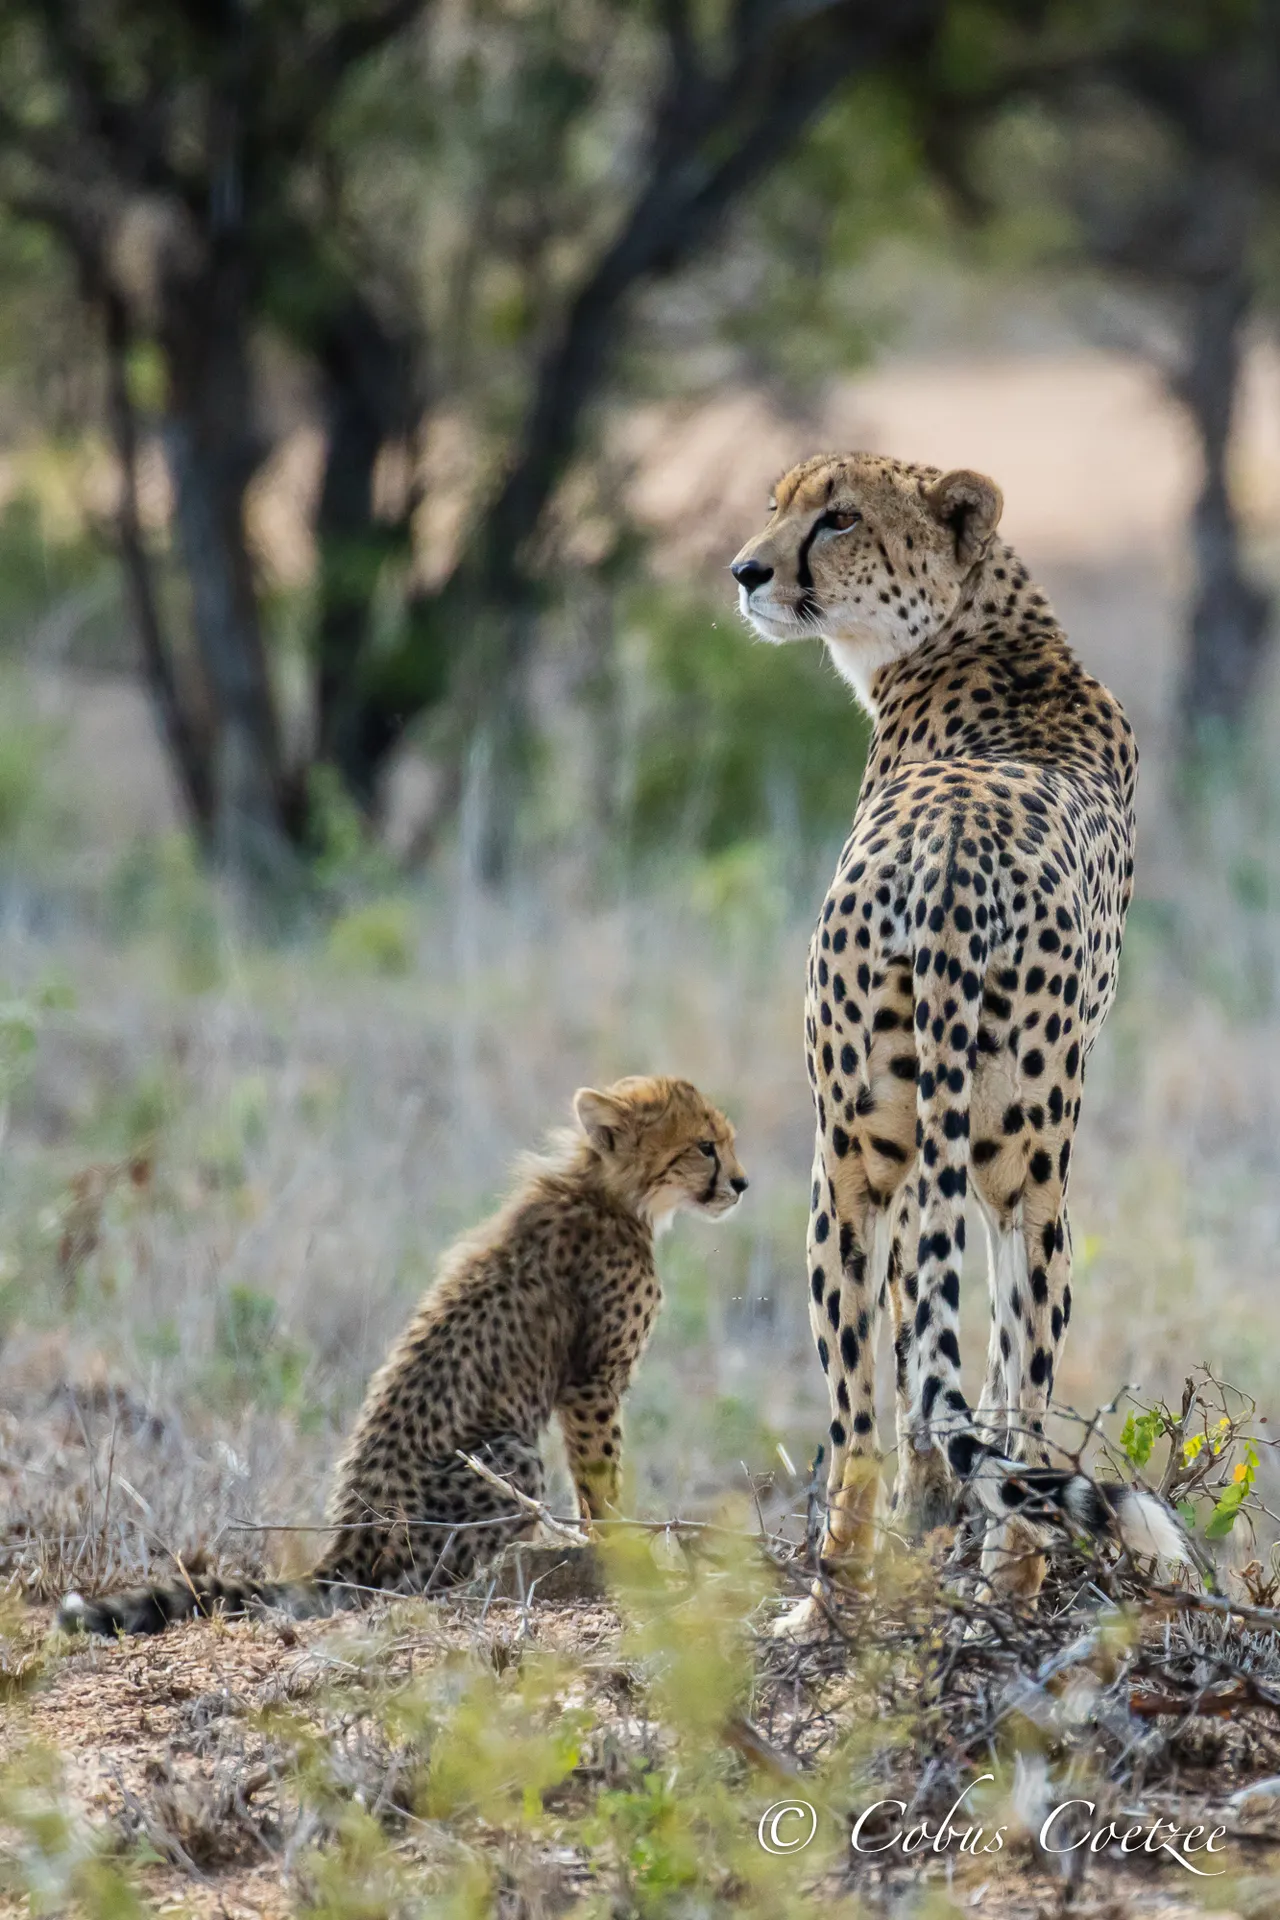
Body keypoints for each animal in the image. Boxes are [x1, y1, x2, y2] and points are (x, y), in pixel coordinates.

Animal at [57, 1075, 747, 1635]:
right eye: (704, 1146)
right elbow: (600, 1480)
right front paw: (620, 1549)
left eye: (724, 1141)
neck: (613, 1192)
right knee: (409, 1584)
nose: (741, 1184)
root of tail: (344, 1545)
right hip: (510, 1456)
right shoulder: (591, 1383)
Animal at [731, 451, 1182, 1629]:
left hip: (845, 1171)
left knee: (864, 1426)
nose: (746, 571)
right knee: (1011, 1396)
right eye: (776, 503)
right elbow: (970, 1375)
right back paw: (998, 1587)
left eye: (838, 517)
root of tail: (949, 866)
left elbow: (909, 1373)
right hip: (1024, 1169)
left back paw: (833, 1603)